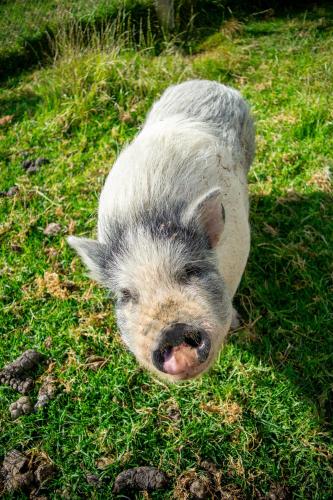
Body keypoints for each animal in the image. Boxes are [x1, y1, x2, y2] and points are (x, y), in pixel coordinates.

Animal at [68, 80, 254, 380]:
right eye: (126, 295)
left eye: (191, 270)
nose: (174, 332)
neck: (144, 216)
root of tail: (206, 82)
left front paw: (237, 324)